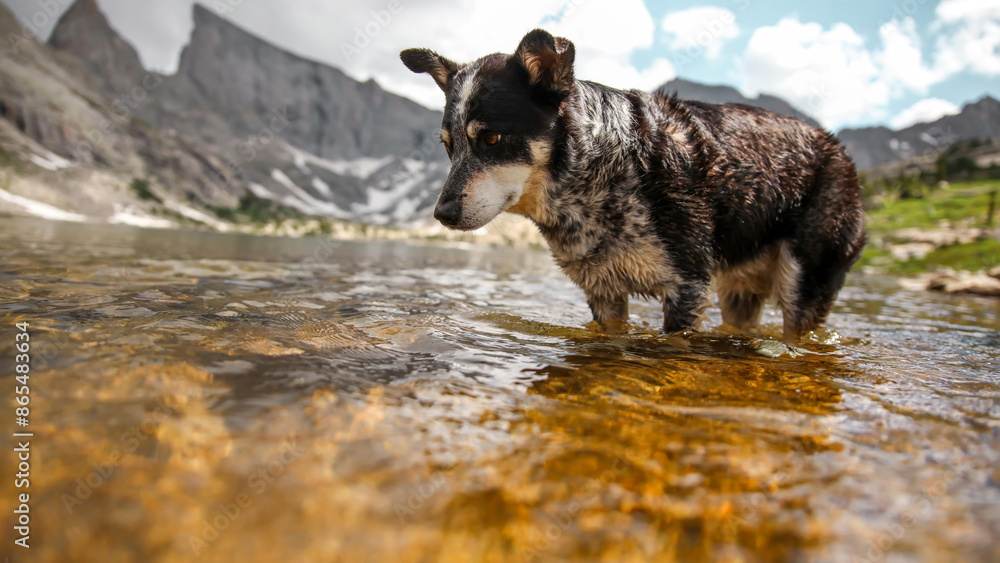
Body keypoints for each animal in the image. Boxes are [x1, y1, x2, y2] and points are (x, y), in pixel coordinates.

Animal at [402, 28, 864, 340]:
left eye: (493, 139)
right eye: (449, 147)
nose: (442, 213)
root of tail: (838, 149)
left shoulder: (687, 287)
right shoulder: (603, 292)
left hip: (804, 281)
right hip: (739, 291)